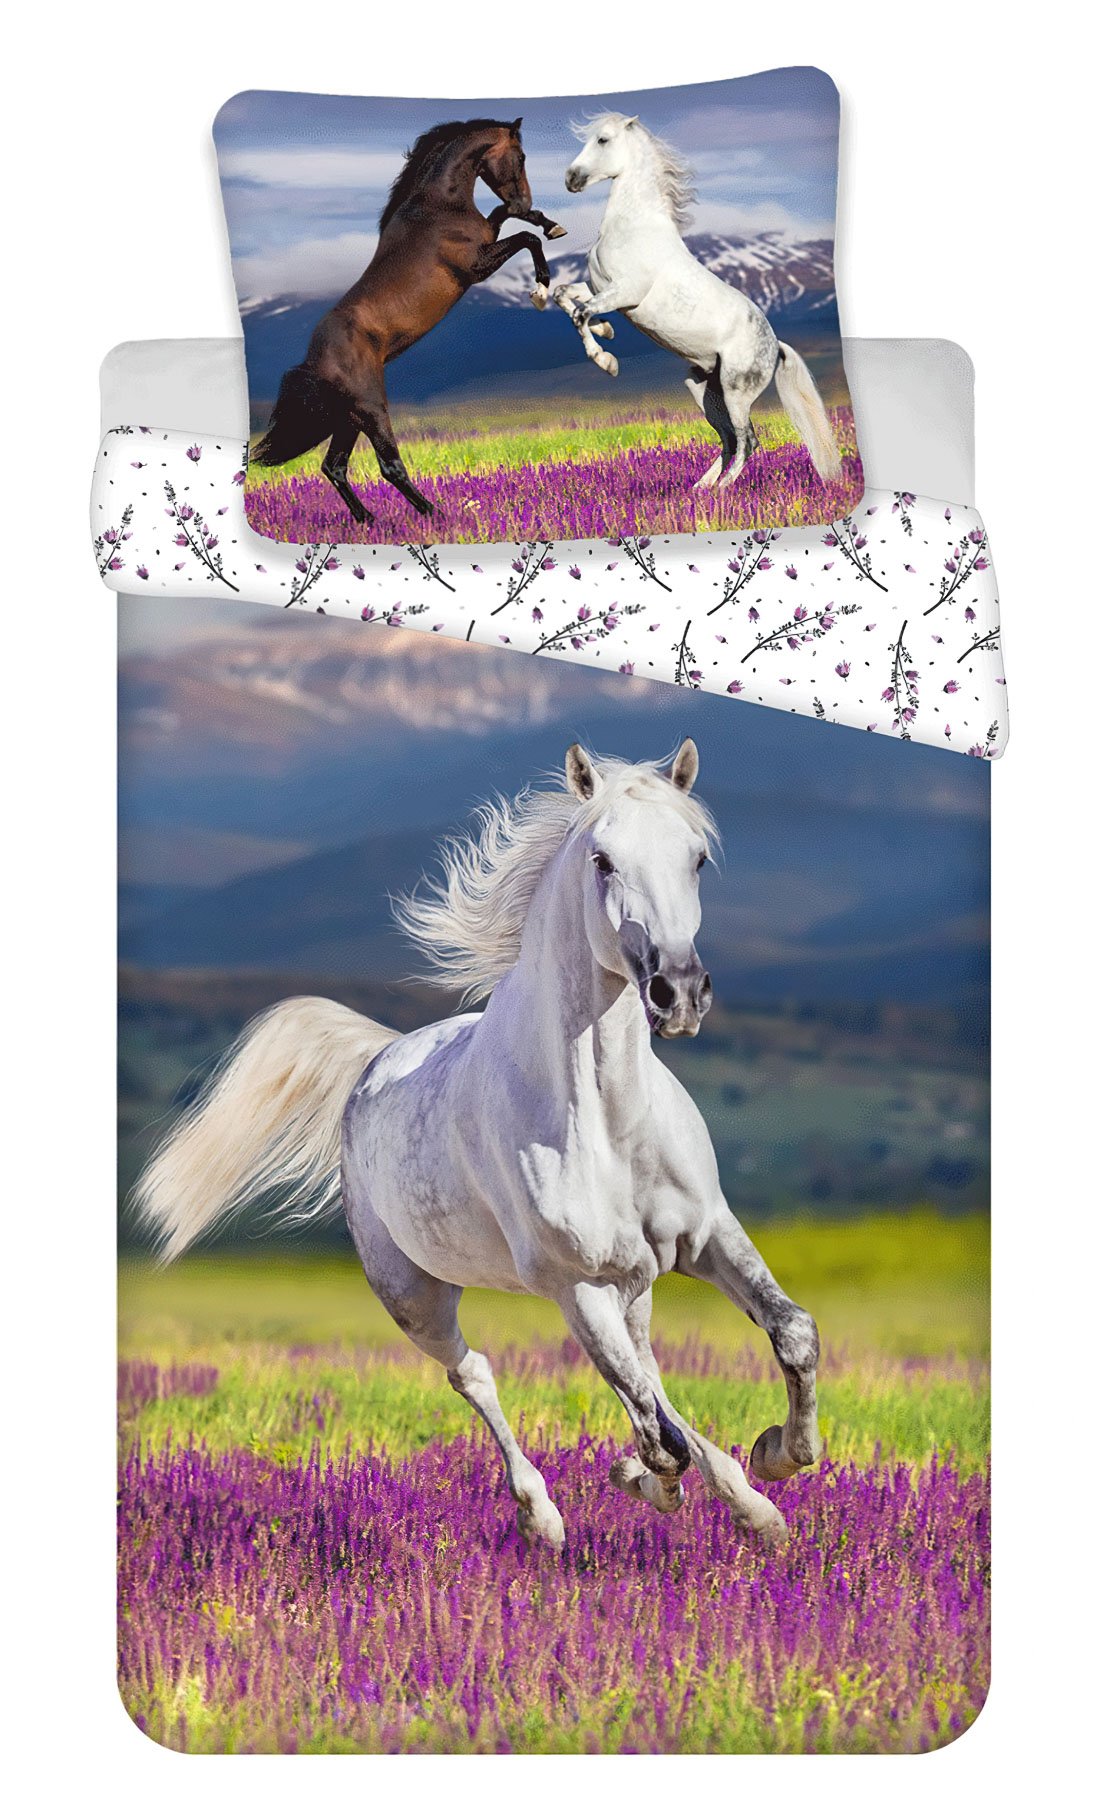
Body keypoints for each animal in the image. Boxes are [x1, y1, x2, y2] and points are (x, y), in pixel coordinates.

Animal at [135, 742, 822, 1550]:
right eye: (603, 860)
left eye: (698, 858)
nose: (678, 992)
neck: (608, 1122)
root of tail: (376, 1061)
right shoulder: (575, 1285)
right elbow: (657, 1433)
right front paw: (658, 1481)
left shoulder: (706, 1235)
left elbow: (789, 1334)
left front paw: (776, 1461)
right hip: (416, 1296)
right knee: (478, 1375)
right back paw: (544, 1517)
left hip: (635, 1284)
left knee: (649, 1373)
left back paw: (733, 1498)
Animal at [252, 119, 565, 522]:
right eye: (521, 156)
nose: (525, 197)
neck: (439, 205)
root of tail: (314, 363)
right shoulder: (475, 266)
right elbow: (526, 237)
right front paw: (541, 285)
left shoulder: (488, 238)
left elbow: (506, 215)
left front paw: (549, 224)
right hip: (371, 409)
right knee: (388, 466)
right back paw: (436, 515)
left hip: (348, 418)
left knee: (334, 465)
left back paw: (368, 521)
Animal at [554, 115, 843, 491]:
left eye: (603, 139)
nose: (571, 179)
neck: (634, 227)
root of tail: (776, 346)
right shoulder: (601, 288)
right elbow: (564, 295)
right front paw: (606, 332)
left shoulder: (625, 293)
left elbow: (580, 313)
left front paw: (607, 361)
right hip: (703, 389)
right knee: (729, 439)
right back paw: (699, 489)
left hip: (736, 392)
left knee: (748, 439)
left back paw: (722, 489)